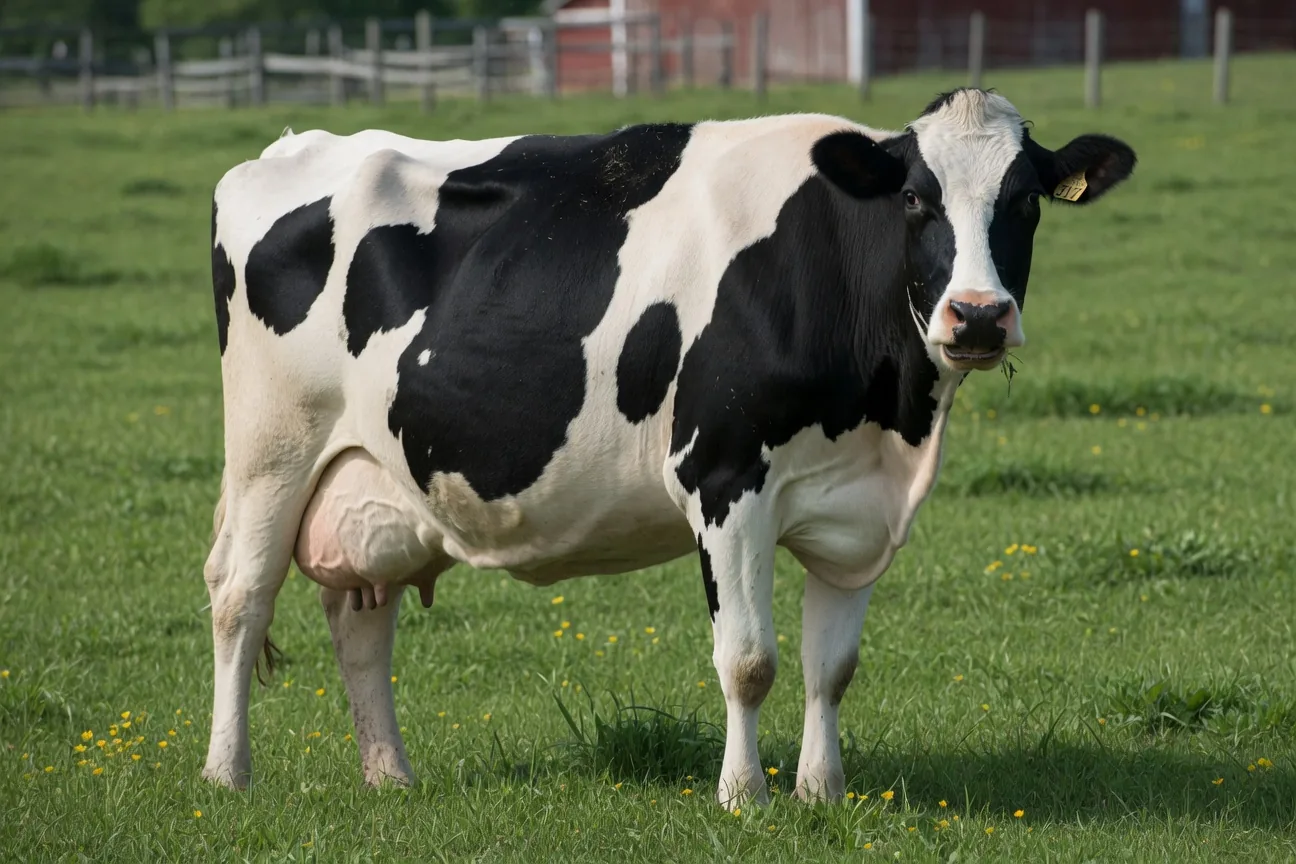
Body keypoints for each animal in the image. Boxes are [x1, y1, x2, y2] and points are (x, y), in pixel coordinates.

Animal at [202, 88, 1135, 807]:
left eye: (1025, 200)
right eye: (913, 198)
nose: (976, 316)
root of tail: (288, 148)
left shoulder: (857, 509)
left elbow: (831, 668)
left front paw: (821, 793)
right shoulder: (723, 479)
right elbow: (749, 661)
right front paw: (744, 797)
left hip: (376, 476)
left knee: (361, 618)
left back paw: (390, 776)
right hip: (271, 450)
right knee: (240, 595)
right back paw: (226, 774)